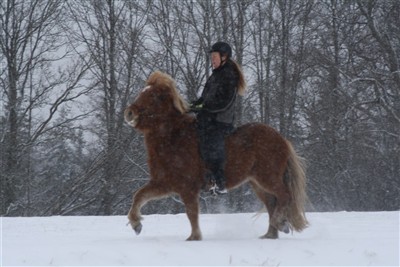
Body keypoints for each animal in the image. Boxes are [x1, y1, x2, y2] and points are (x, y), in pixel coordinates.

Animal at [125, 70, 310, 241]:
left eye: (153, 95)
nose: (129, 113)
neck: (174, 136)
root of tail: (281, 139)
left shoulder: (187, 187)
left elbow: (191, 212)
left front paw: (194, 237)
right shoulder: (164, 183)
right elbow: (139, 195)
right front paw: (136, 224)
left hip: (268, 178)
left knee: (284, 196)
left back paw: (280, 223)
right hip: (257, 183)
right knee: (272, 202)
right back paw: (270, 233)